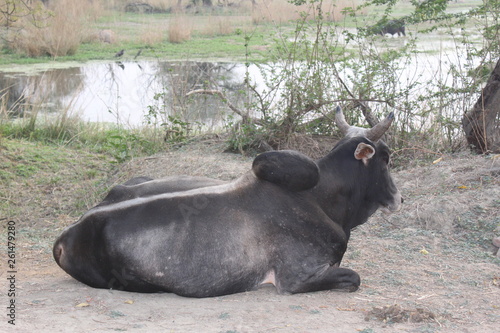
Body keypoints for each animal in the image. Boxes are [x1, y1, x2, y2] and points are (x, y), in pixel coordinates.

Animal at [53, 106, 402, 296]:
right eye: (385, 158)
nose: (400, 197)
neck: (320, 200)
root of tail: (66, 235)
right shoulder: (297, 277)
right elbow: (354, 278)